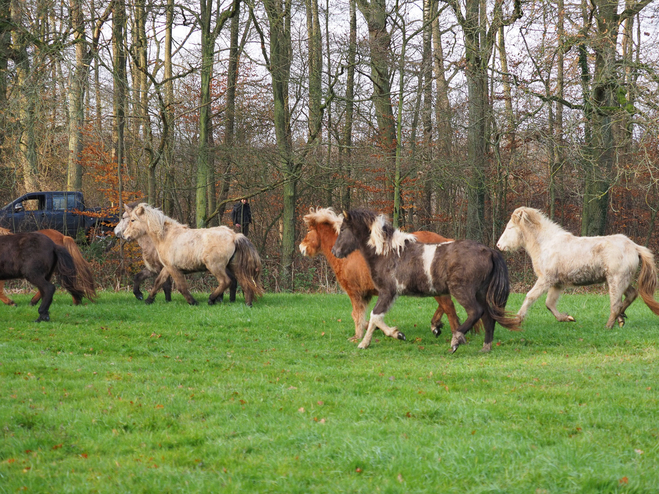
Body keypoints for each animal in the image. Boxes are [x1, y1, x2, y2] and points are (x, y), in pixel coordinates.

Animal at [121, 202, 262, 304]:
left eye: (132, 220)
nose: (124, 236)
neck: (165, 236)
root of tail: (234, 236)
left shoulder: (172, 268)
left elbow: (180, 286)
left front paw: (192, 301)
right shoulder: (167, 268)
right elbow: (158, 282)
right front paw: (148, 300)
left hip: (216, 267)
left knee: (226, 282)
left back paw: (211, 299)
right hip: (234, 266)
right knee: (245, 283)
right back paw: (247, 304)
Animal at [300, 206, 474, 342]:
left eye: (309, 231)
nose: (302, 248)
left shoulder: (355, 293)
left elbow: (358, 315)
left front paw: (359, 337)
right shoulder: (368, 295)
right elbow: (369, 317)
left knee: (449, 307)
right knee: (446, 306)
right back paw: (437, 326)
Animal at [332, 207, 524, 352]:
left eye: (342, 229)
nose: (335, 251)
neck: (387, 253)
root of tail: (489, 251)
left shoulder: (387, 292)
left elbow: (375, 316)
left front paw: (371, 341)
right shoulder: (389, 294)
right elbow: (376, 318)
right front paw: (385, 337)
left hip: (462, 290)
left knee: (475, 312)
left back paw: (456, 340)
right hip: (480, 293)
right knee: (488, 317)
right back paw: (485, 347)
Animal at [496, 206, 659, 328]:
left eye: (510, 228)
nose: (498, 245)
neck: (546, 244)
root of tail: (634, 247)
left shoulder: (545, 279)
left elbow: (530, 297)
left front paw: (516, 320)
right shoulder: (557, 284)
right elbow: (549, 303)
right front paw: (567, 318)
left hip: (616, 280)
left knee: (616, 304)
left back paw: (608, 325)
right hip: (623, 280)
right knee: (631, 295)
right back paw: (620, 319)